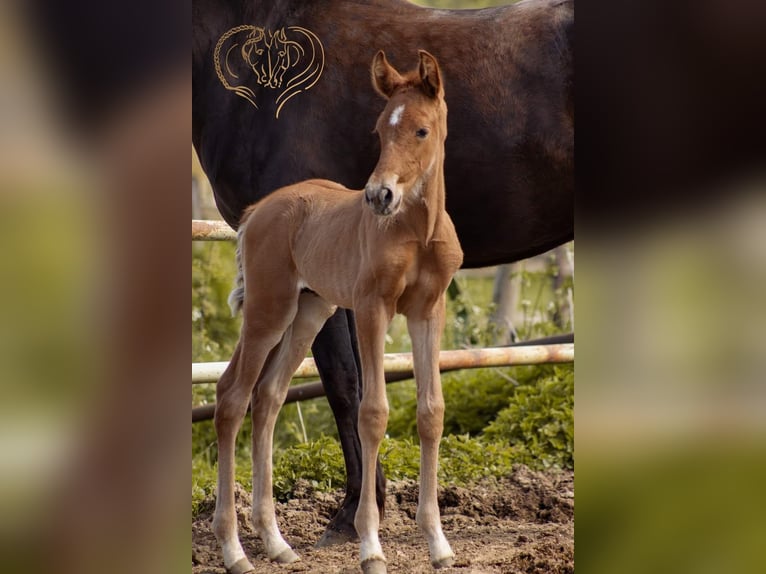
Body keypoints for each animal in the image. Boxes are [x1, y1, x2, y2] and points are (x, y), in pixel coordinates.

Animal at [213, 51, 462, 572]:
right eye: (380, 130)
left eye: (421, 130)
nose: (379, 196)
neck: (418, 231)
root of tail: (256, 211)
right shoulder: (371, 308)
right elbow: (373, 412)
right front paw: (370, 546)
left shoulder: (428, 311)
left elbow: (431, 411)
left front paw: (438, 543)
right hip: (269, 310)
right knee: (232, 397)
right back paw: (234, 550)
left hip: (309, 311)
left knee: (268, 397)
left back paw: (277, 543)